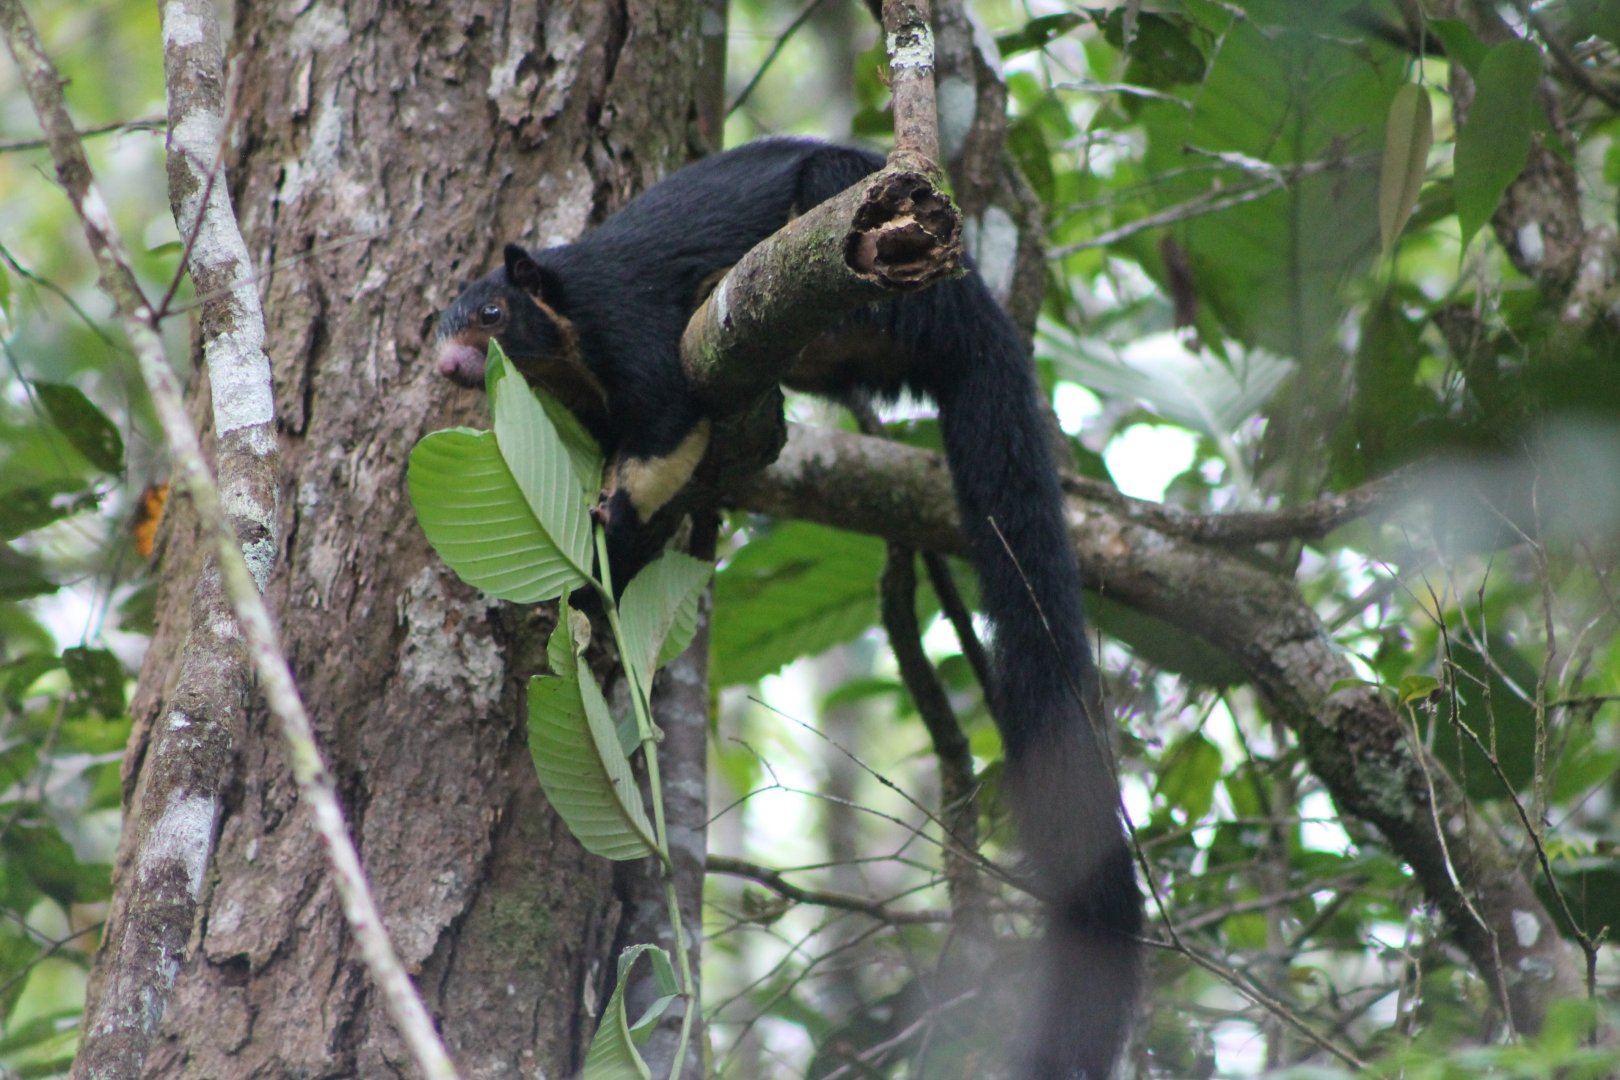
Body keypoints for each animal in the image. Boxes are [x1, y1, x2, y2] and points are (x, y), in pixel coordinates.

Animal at [435, 137, 1142, 1080]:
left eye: (492, 313)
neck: (568, 349)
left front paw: (610, 533)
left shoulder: (633, 332)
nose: (448, 366)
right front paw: (591, 578)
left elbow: (665, 428)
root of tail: (975, 312)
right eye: (443, 325)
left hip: (856, 249)